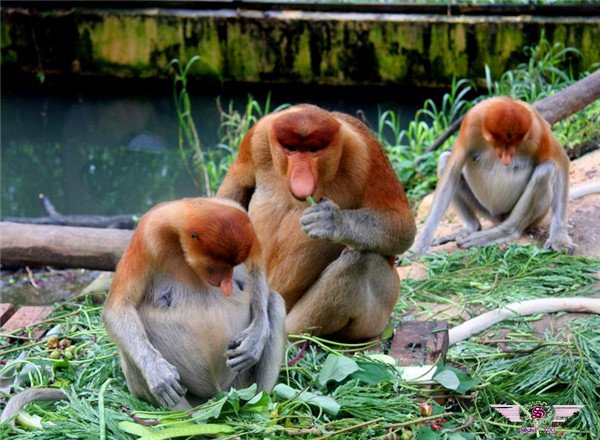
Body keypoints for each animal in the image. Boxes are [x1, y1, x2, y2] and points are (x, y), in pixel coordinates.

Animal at [217, 104, 418, 340]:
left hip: (378, 313)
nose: (301, 177)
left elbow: (401, 225)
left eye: (313, 150)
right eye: (292, 148)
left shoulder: (365, 152)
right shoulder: (255, 139)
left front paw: (332, 221)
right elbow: (232, 195)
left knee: (360, 262)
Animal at [410, 96, 580, 254]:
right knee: (444, 160)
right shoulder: (470, 125)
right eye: (500, 144)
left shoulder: (538, 131)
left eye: (514, 145)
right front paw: (417, 249)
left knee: (546, 171)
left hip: (531, 216)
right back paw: (472, 228)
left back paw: (503, 232)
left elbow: (560, 160)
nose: (506, 158)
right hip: (487, 212)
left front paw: (559, 240)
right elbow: (452, 172)